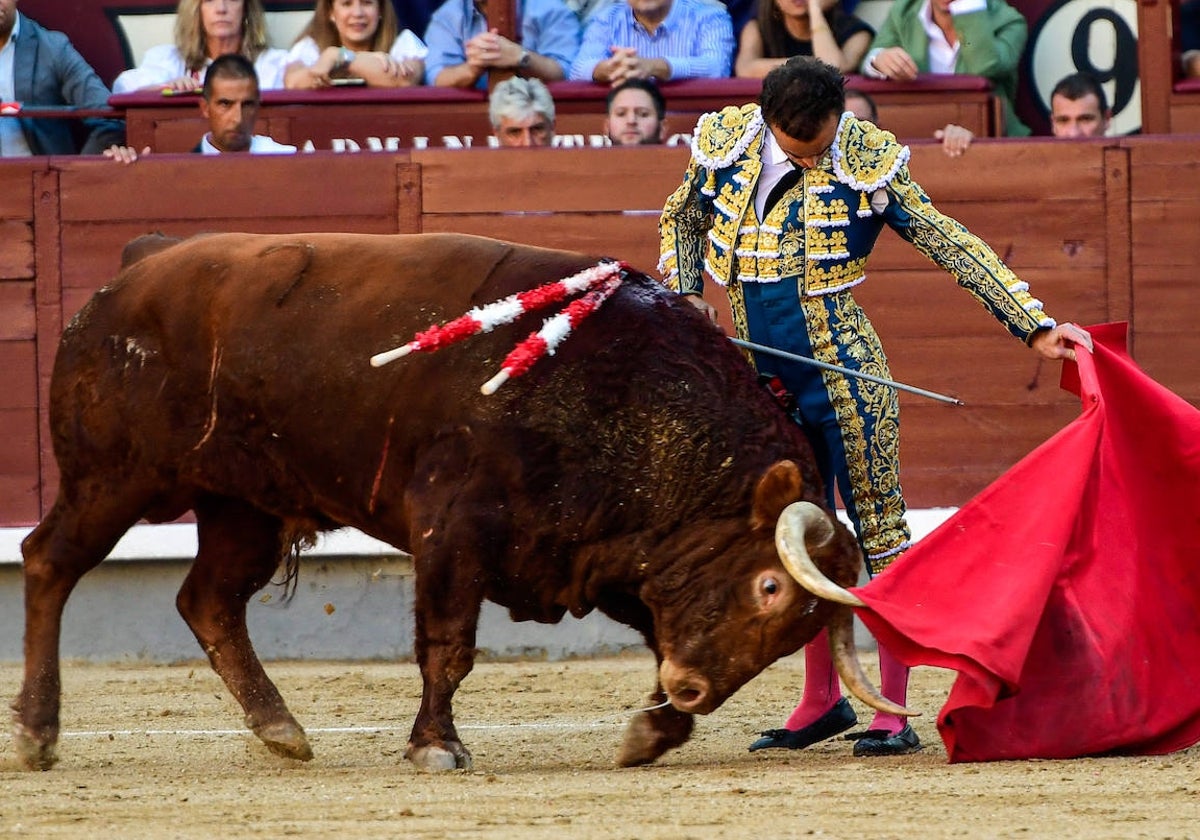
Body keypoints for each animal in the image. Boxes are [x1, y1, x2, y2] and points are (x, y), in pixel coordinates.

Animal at [11, 232, 907, 772]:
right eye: (768, 586)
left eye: (795, 631)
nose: (690, 691)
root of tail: (139, 262)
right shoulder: (452, 530)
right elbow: (448, 647)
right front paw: (436, 746)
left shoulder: (605, 553)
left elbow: (653, 636)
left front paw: (651, 731)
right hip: (114, 480)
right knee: (48, 562)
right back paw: (35, 733)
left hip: (244, 508)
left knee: (208, 601)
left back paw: (281, 729)